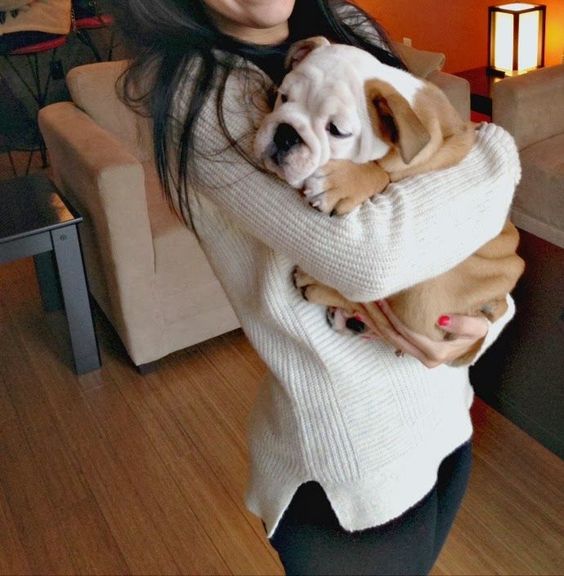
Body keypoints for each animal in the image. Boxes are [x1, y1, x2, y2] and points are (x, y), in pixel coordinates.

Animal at [256, 38, 524, 364]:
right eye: (283, 97)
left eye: (337, 131)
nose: (285, 133)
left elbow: (380, 171)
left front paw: (342, 182)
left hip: (421, 295)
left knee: (380, 311)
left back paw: (319, 287)